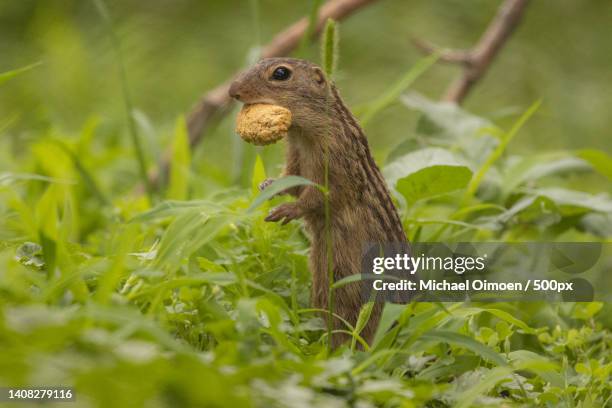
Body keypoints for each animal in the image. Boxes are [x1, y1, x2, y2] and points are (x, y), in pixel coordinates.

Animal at [230, 57, 406, 348]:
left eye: (280, 73)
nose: (232, 90)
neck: (304, 134)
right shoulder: (295, 157)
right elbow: (292, 182)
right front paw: (267, 185)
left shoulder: (337, 166)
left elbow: (321, 197)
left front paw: (285, 210)